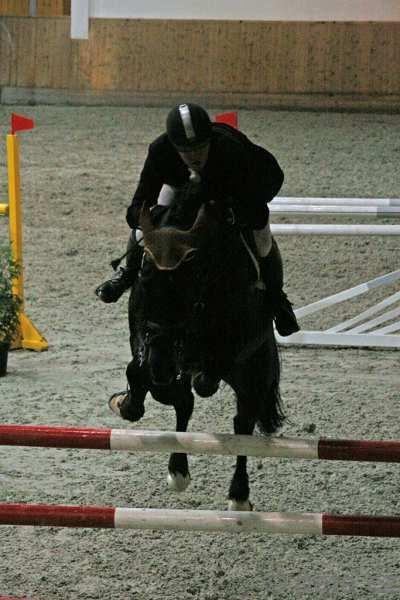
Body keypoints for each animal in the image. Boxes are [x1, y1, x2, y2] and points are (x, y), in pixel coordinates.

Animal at [109, 182, 284, 510]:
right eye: (145, 274)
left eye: (192, 276)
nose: (162, 366)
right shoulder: (142, 329)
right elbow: (138, 371)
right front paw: (128, 404)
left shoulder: (238, 341)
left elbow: (203, 379)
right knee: (185, 404)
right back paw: (178, 470)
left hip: (254, 372)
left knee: (242, 422)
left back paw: (239, 496)